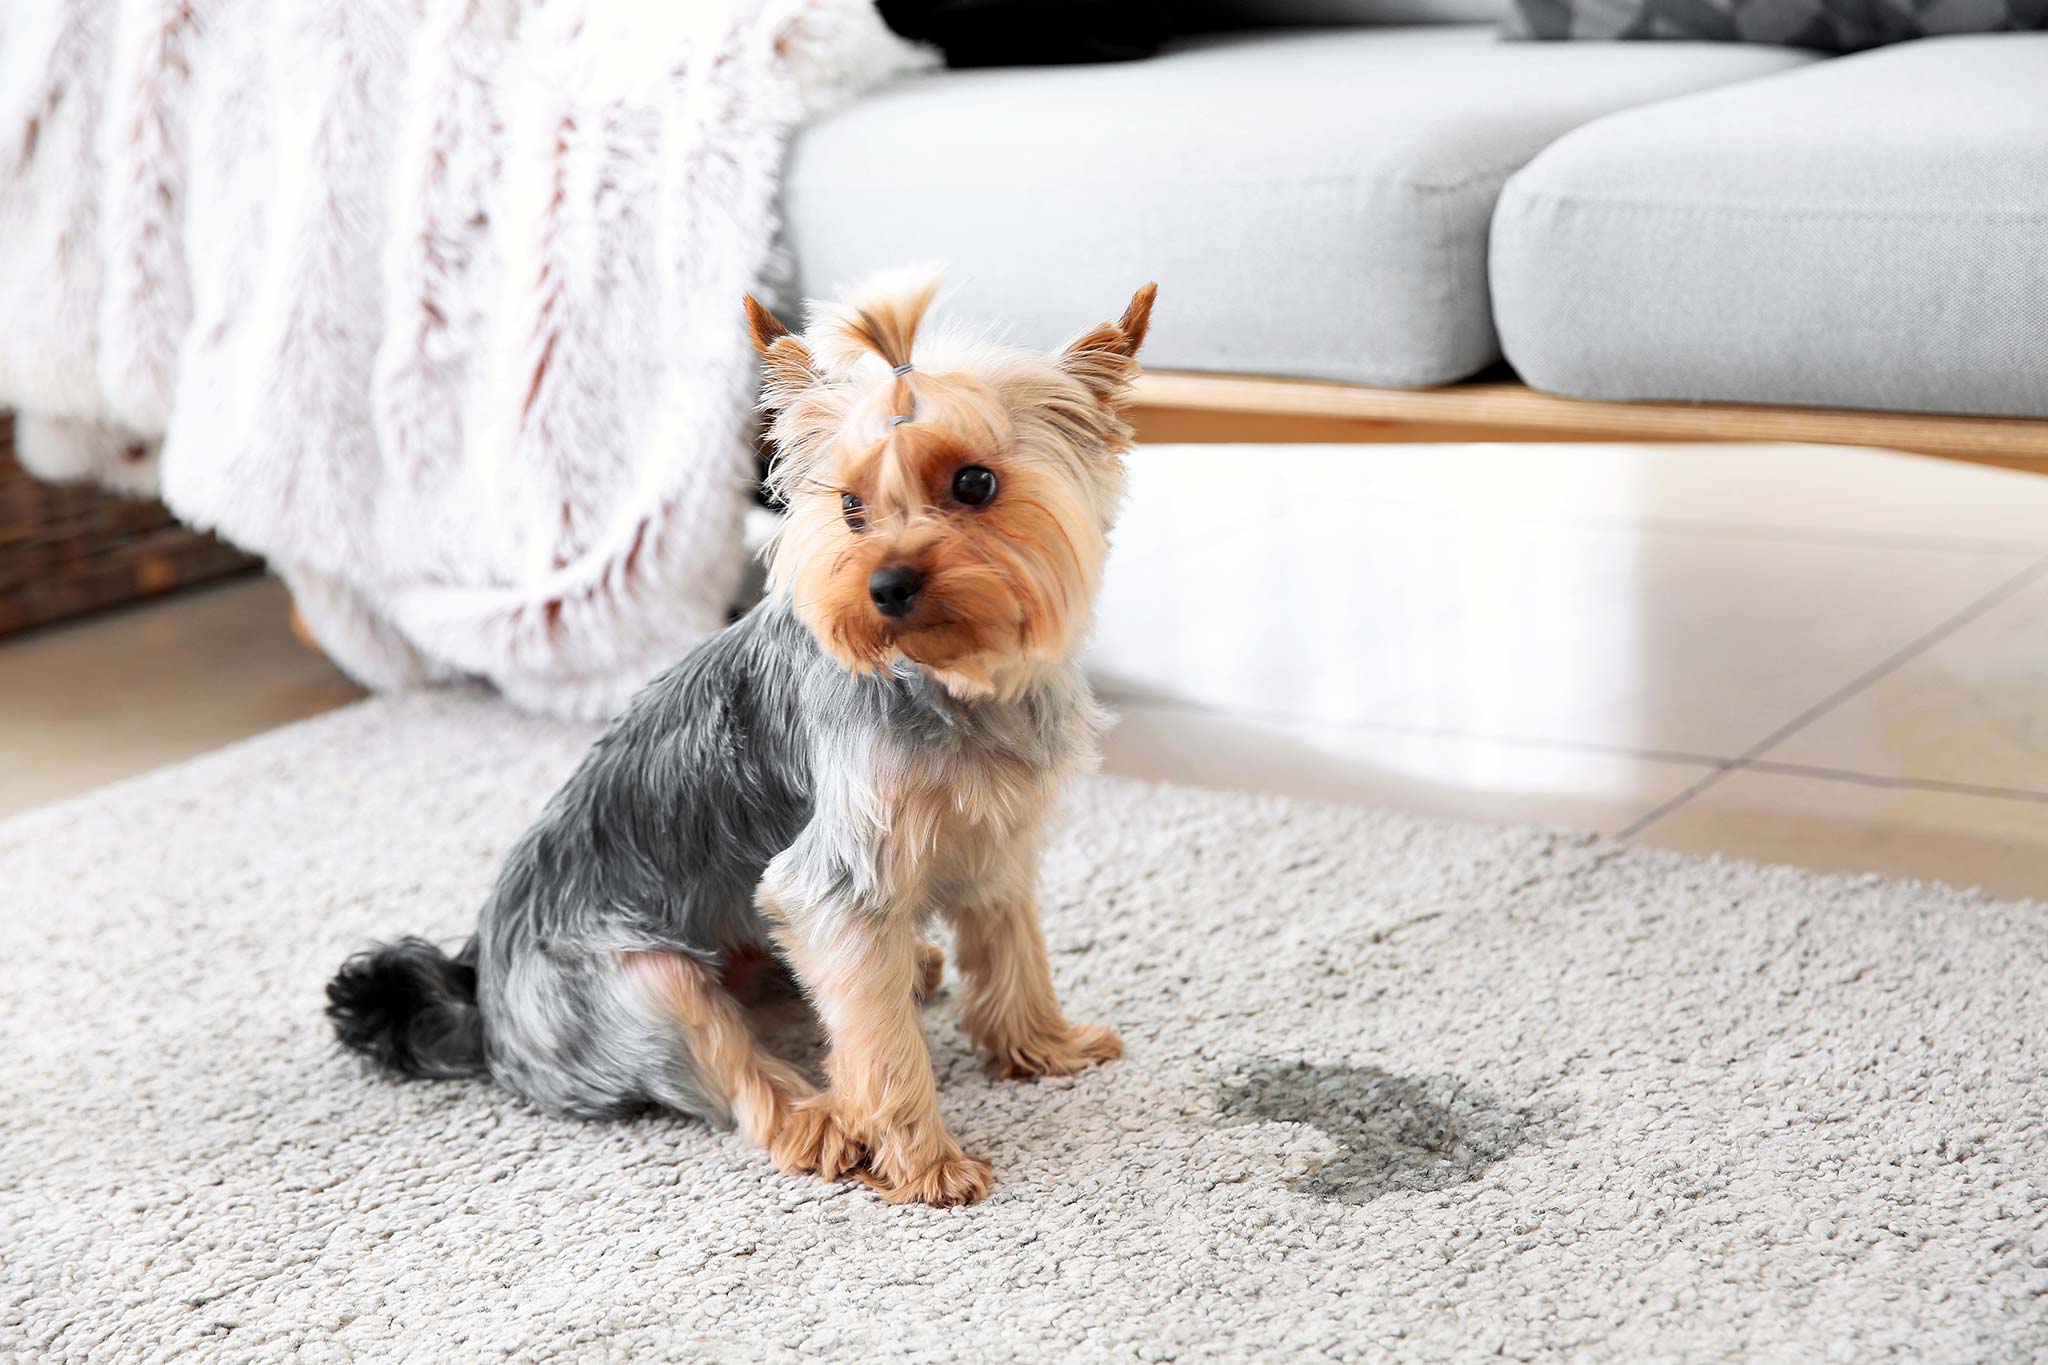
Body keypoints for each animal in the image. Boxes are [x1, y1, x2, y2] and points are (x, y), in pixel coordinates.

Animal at [319, 270, 1155, 1203]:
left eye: (975, 483)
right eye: (851, 505)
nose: (886, 586)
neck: (950, 680)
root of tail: (484, 1008)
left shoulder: (999, 839)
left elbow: (1013, 950)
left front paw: (1041, 1045)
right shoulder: (834, 884)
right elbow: (881, 1043)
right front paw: (925, 1161)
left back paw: (907, 972)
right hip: (641, 982)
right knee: (736, 1068)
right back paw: (822, 1121)